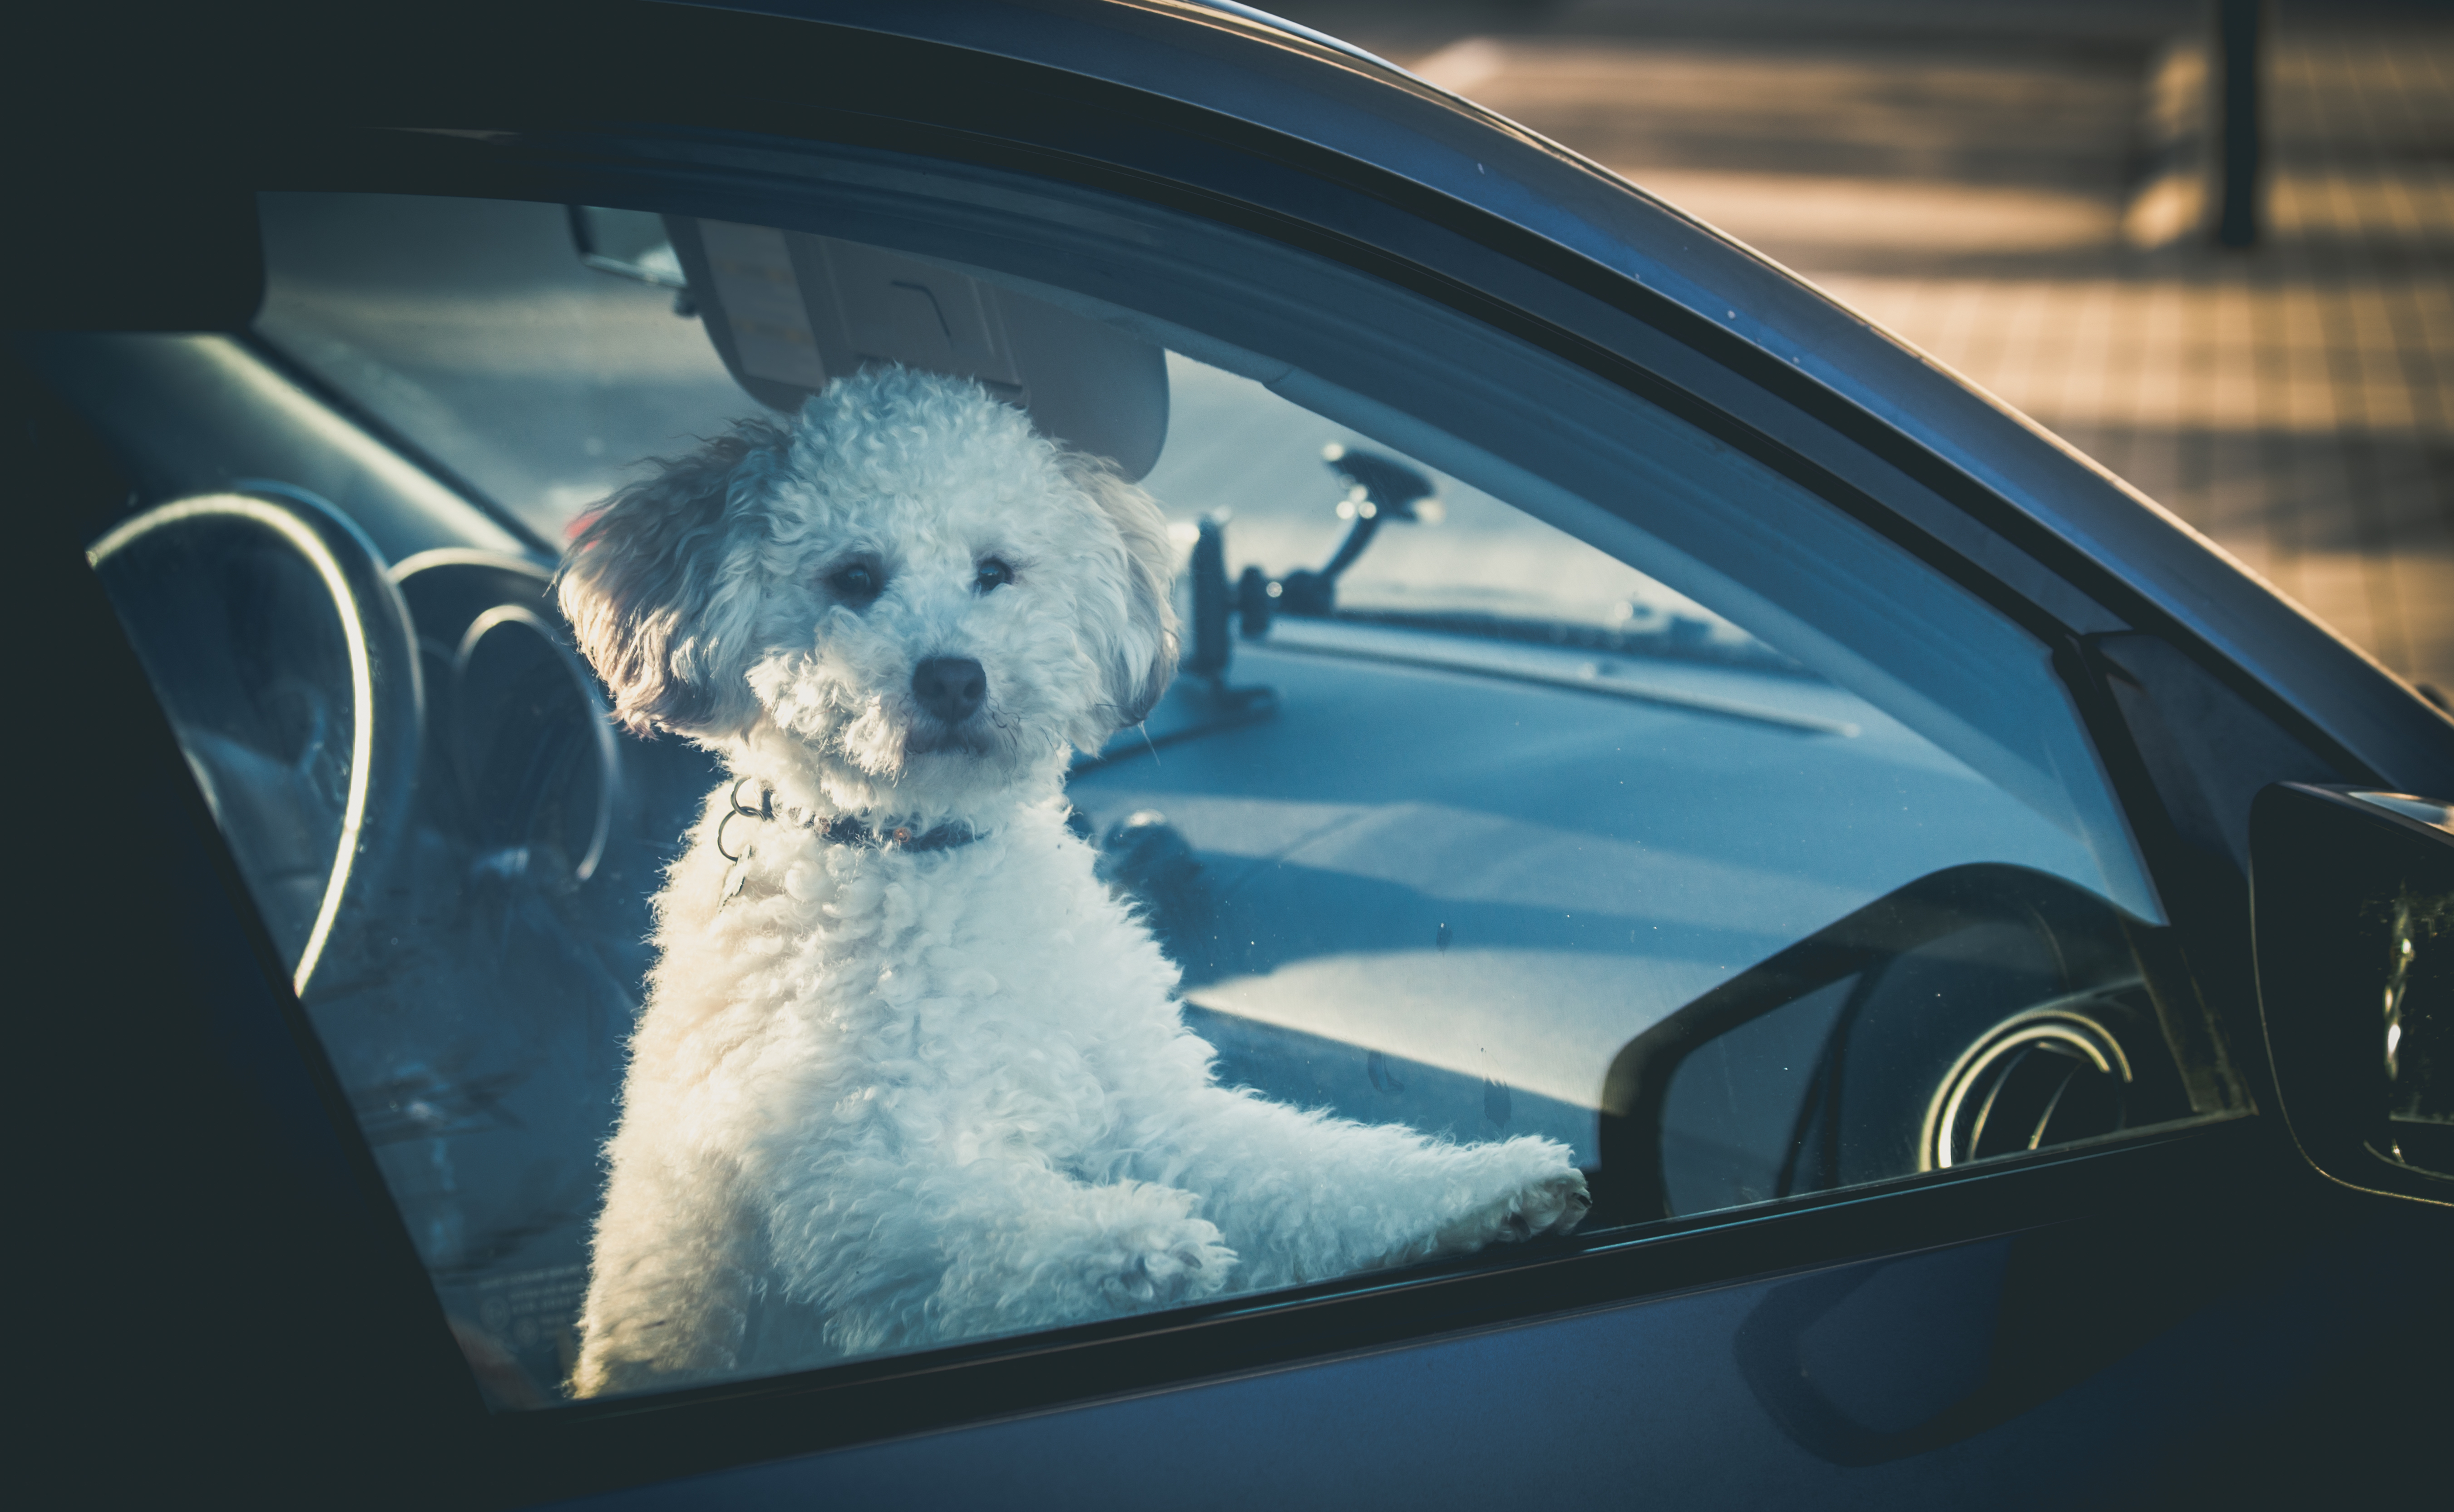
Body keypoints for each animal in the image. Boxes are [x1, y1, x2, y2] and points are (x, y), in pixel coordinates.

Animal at [559, 363, 1590, 1394]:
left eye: (995, 572)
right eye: (853, 578)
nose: (953, 677)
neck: (924, 857)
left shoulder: (1159, 1116)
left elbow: (1311, 1174)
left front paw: (1485, 1187)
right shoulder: (842, 1178)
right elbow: (972, 1229)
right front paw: (1124, 1246)